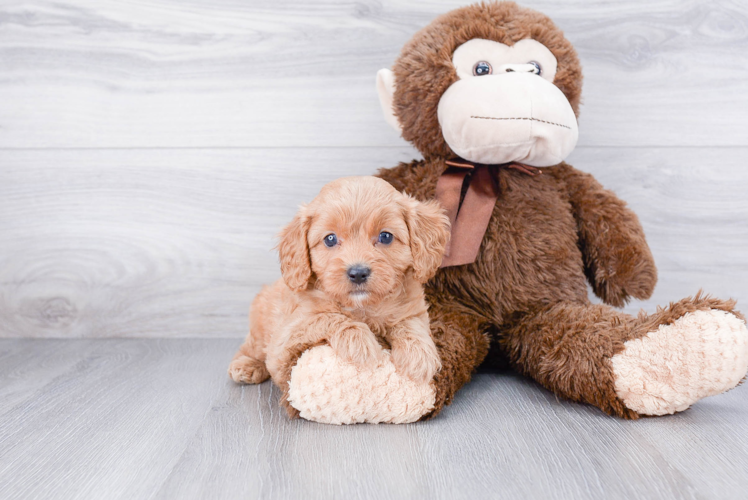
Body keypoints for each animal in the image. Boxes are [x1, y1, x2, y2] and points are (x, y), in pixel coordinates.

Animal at [228, 178, 450, 392]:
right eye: (330, 239)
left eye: (385, 236)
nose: (358, 273)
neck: (363, 307)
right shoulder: (285, 339)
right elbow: (327, 317)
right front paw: (359, 341)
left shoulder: (413, 309)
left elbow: (410, 323)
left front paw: (418, 354)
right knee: (251, 346)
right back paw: (246, 365)